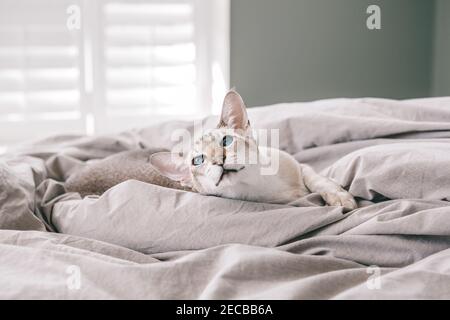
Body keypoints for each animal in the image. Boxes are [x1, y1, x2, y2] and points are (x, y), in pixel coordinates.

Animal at [149, 89, 356, 210]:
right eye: (198, 160)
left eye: (226, 141)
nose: (218, 161)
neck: (261, 185)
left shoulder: (301, 166)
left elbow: (319, 181)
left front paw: (341, 198)